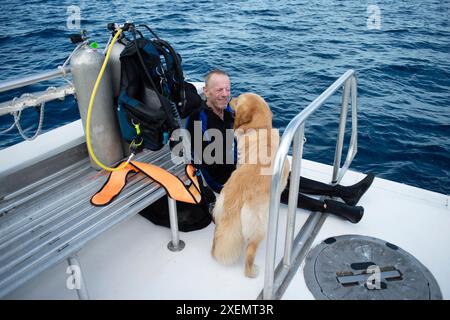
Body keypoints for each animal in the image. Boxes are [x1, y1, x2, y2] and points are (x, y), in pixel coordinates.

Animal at [210, 92, 288, 278]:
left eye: (238, 100)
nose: (230, 97)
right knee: (250, 254)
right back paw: (252, 272)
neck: (261, 128)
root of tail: (238, 194)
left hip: (219, 210)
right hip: (258, 227)